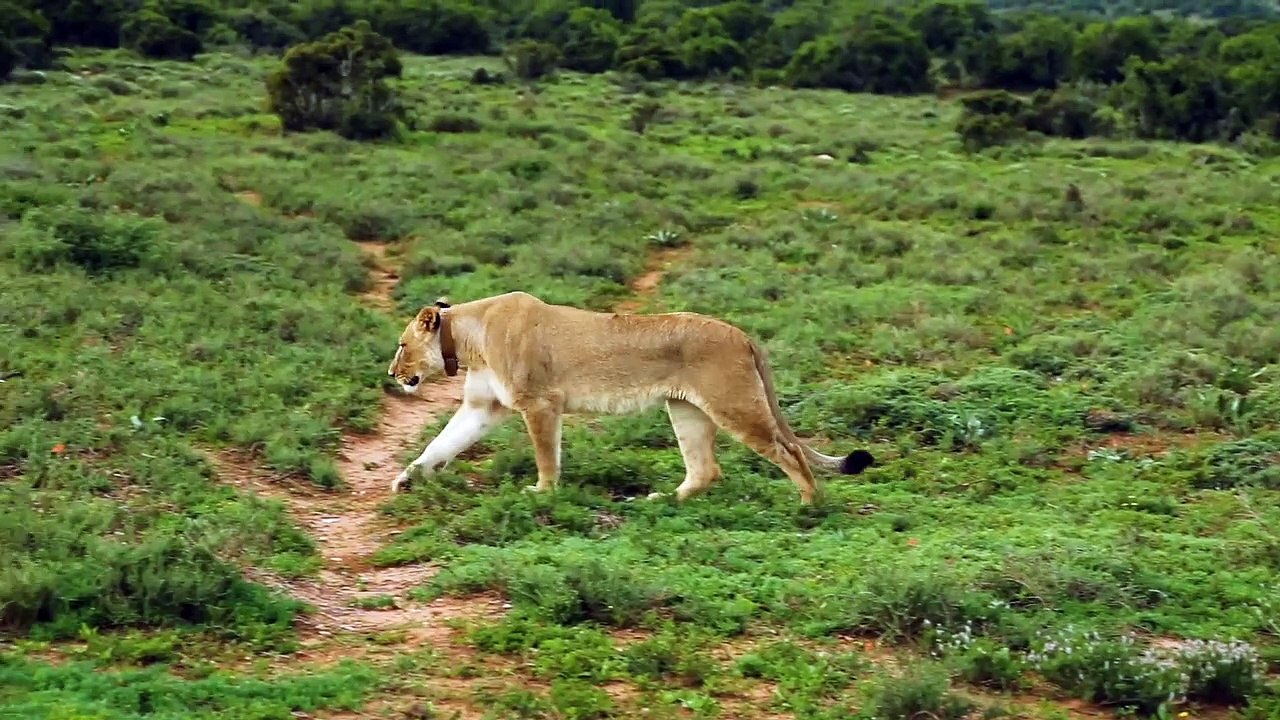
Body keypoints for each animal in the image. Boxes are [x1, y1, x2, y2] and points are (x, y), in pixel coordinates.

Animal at [387, 291, 874, 505]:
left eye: (402, 344)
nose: (393, 374)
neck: (467, 338)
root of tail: (743, 334)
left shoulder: (540, 402)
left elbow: (546, 455)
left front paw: (542, 493)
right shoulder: (484, 407)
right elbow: (441, 444)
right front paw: (407, 479)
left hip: (734, 404)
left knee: (789, 451)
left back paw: (809, 506)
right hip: (687, 410)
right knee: (706, 468)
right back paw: (663, 501)